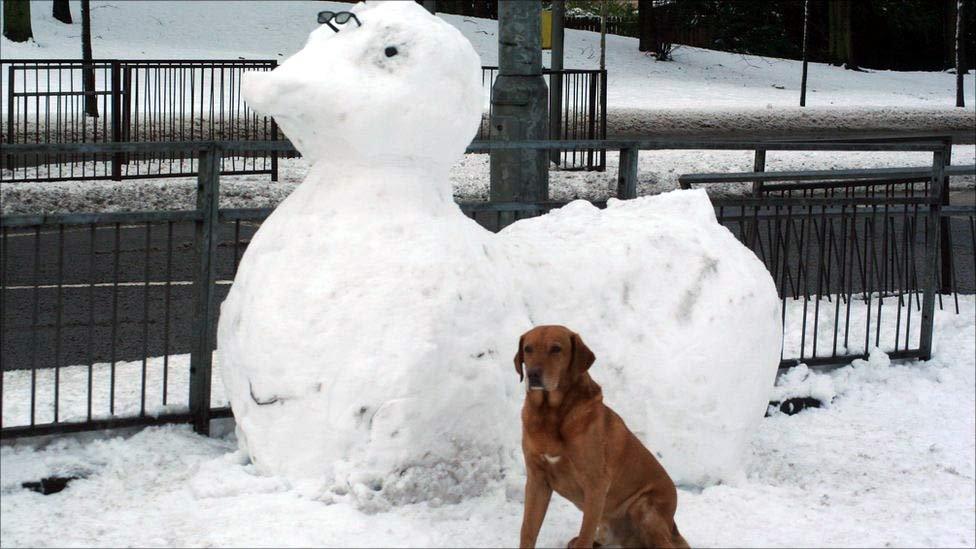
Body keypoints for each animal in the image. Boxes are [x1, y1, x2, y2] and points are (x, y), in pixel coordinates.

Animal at [520, 326, 688, 548]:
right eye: (528, 349)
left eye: (556, 349)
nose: (532, 374)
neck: (550, 414)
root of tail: (673, 526)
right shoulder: (537, 480)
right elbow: (528, 530)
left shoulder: (596, 484)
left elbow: (585, 536)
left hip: (645, 508)